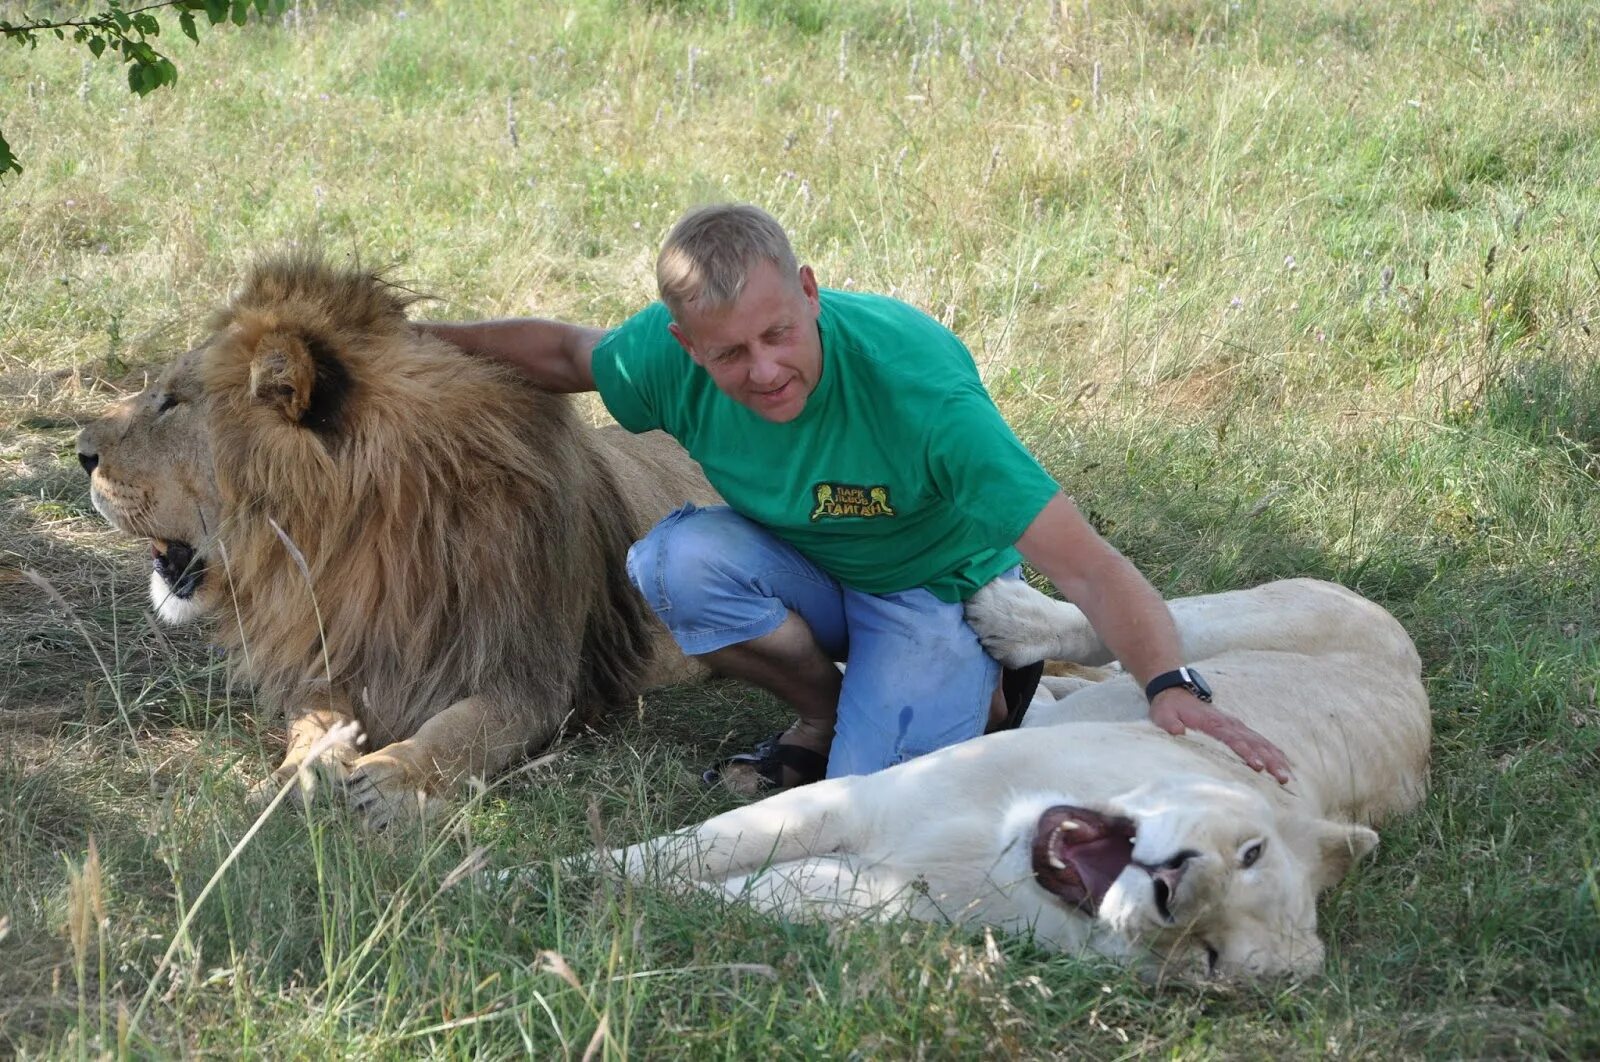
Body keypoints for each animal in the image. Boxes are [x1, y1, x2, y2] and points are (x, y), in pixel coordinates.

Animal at [78, 252, 716, 825]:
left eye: (171, 402)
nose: (80, 452)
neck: (362, 541)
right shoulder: (331, 655)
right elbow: (315, 725)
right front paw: (295, 776)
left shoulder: (534, 675)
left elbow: (466, 728)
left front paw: (395, 777)